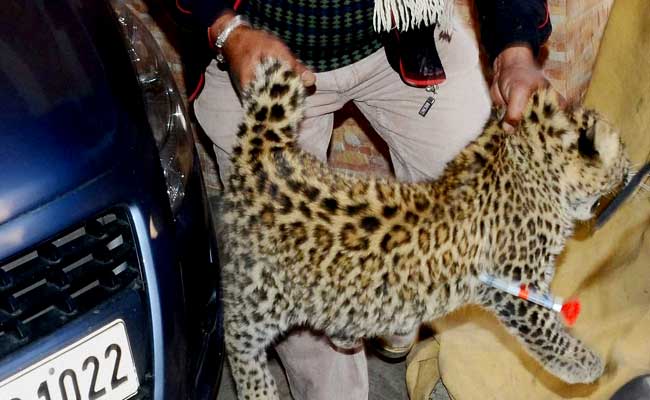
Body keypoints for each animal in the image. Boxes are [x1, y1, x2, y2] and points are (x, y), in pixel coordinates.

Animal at [218, 59, 630, 400]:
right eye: (623, 153)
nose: (631, 171)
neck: (525, 160)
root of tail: (259, 160)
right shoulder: (516, 287)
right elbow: (547, 333)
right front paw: (587, 365)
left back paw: (345, 332)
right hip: (262, 291)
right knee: (237, 336)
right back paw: (258, 389)